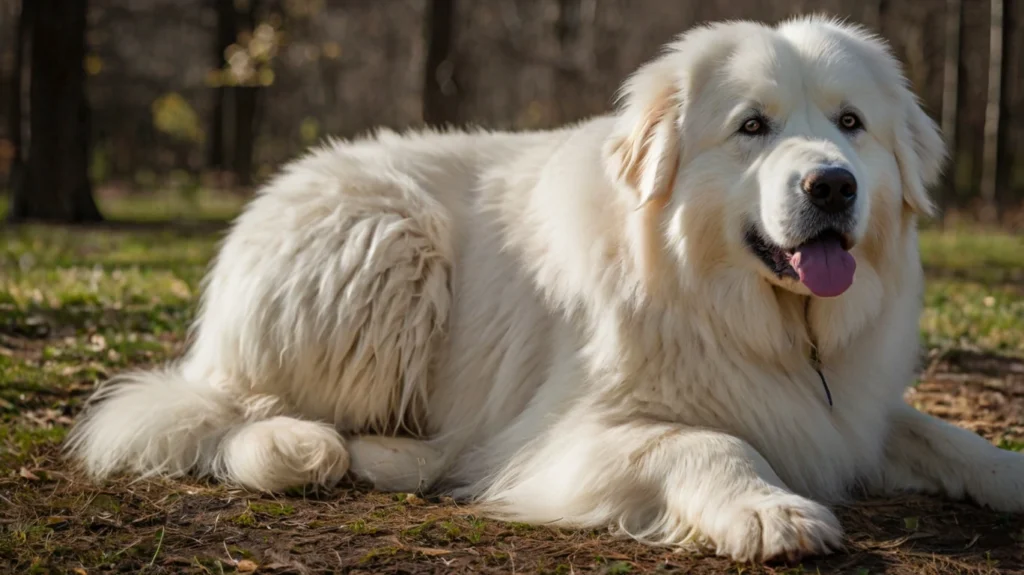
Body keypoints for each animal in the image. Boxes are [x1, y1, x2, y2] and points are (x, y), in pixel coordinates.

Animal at [66, 16, 1024, 560]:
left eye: (851, 124)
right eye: (752, 127)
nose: (832, 186)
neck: (761, 320)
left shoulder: (844, 410)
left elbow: (945, 435)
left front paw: (1006, 470)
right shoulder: (571, 436)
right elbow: (706, 441)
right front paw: (770, 510)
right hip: (390, 242)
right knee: (257, 416)